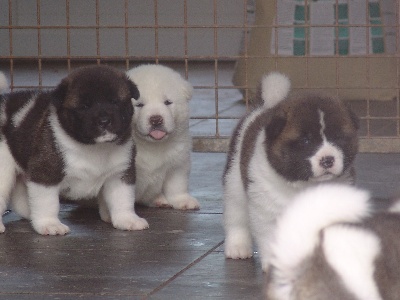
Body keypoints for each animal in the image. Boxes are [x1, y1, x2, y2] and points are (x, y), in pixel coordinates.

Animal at [0, 65, 149, 234]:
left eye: (115, 102)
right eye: (84, 107)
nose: (104, 121)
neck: (93, 147)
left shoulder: (119, 174)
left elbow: (123, 199)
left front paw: (127, 219)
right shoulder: (45, 174)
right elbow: (47, 202)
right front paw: (49, 223)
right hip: (4, 171)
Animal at [126, 65, 199, 211]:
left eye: (167, 102)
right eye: (139, 105)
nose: (156, 119)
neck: (152, 146)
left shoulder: (178, 162)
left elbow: (177, 185)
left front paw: (183, 201)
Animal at [222, 72, 360, 270]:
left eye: (338, 138)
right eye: (306, 141)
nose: (328, 159)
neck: (303, 185)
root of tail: (264, 106)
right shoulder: (268, 211)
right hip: (234, 183)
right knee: (236, 216)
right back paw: (237, 247)